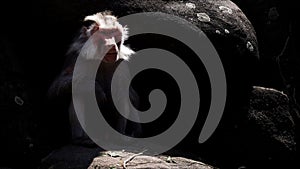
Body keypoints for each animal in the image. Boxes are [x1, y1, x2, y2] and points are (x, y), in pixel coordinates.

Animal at [48, 11, 142, 147]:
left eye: (114, 35)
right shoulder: (77, 58)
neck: (101, 59)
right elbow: (54, 89)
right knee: (79, 92)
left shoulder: (120, 64)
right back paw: (81, 139)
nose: (112, 45)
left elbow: (124, 94)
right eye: (105, 35)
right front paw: (95, 89)